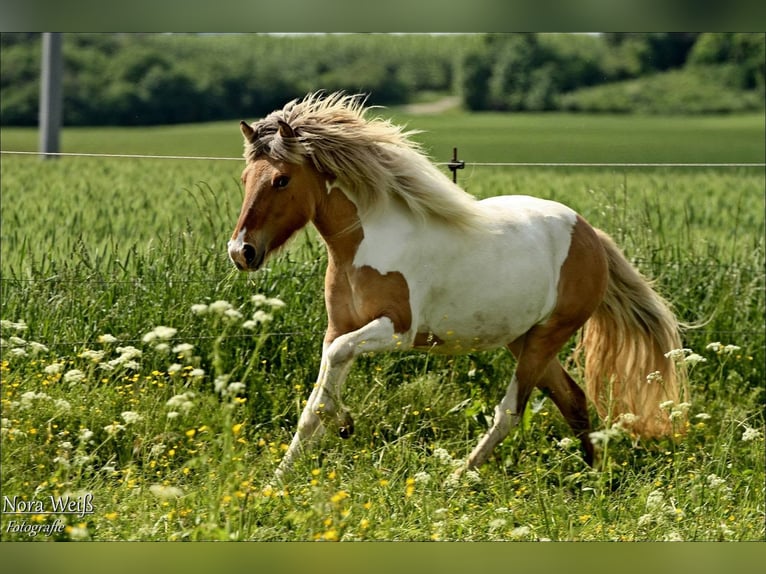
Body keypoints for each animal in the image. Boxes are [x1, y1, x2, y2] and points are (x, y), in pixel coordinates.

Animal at [227, 92, 688, 478]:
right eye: (245, 178)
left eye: (282, 180)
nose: (241, 252)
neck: (366, 242)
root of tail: (591, 236)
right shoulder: (339, 327)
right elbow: (316, 399)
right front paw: (280, 478)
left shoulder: (398, 330)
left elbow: (337, 361)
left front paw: (343, 425)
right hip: (524, 337)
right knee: (572, 398)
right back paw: (595, 479)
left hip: (548, 336)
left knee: (511, 410)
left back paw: (458, 478)